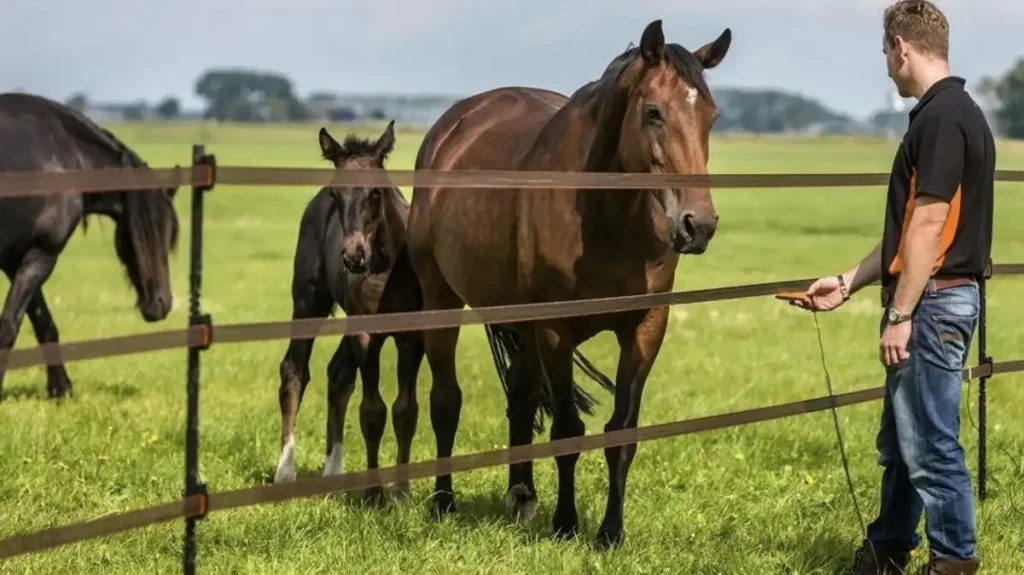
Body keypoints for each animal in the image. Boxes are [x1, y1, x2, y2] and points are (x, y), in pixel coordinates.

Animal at [0, 92, 180, 400]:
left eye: (169, 235)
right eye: (139, 234)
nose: (161, 304)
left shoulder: (16, 258)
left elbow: (43, 323)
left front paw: (61, 390)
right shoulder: (42, 253)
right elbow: (10, 326)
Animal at [274, 121, 426, 505]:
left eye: (376, 193)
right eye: (335, 195)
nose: (353, 256)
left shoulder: (413, 336)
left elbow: (405, 409)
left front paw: (401, 492)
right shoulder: (366, 332)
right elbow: (372, 410)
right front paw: (373, 493)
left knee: (339, 373)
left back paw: (333, 473)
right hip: (308, 301)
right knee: (294, 370)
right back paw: (285, 472)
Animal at [405, 20, 731, 547]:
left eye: (711, 116)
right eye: (653, 112)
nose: (697, 225)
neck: (607, 216)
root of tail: (451, 127)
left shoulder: (646, 326)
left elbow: (621, 433)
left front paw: (610, 533)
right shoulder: (556, 328)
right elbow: (566, 429)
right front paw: (566, 524)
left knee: (519, 397)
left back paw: (521, 496)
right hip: (443, 299)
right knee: (446, 400)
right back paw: (443, 501)